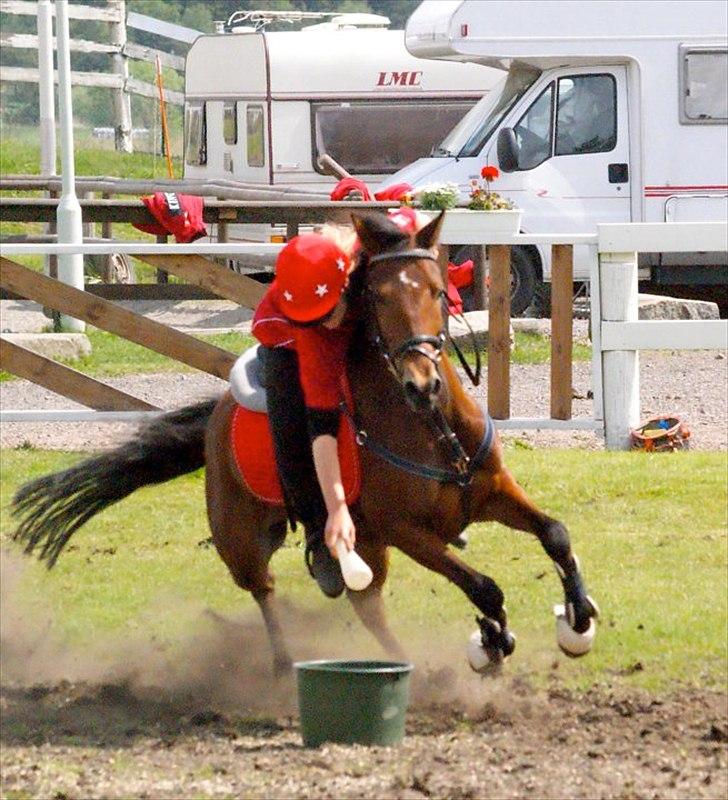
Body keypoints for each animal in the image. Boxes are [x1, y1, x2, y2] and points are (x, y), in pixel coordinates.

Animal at [9, 212, 596, 676]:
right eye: (379, 296)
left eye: (435, 290)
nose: (421, 383)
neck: (429, 426)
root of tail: (218, 416)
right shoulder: (405, 531)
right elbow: (484, 586)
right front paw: (494, 637)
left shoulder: (491, 491)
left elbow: (556, 534)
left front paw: (578, 615)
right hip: (242, 539)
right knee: (265, 590)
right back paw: (284, 661)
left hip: (364, 547)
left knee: (367, 605)